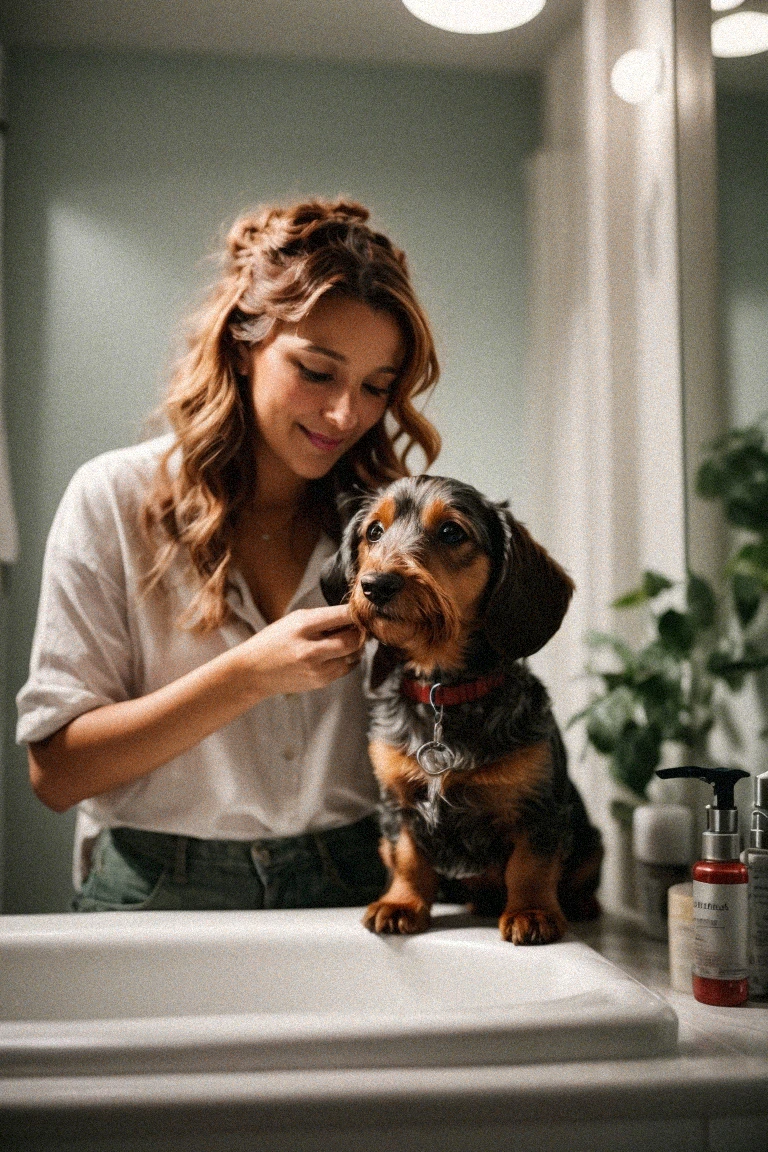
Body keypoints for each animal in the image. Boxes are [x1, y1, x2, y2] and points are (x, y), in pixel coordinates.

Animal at [322, 476, 603, 944]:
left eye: (452, 532)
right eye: (373, 532)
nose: (376, 585)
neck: (443, 692)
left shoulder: (539, 809)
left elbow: (530, 867)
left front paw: (531, 913)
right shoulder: (397, 803)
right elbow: (407, 858)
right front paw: (400, 904)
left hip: (591, 841)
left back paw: (579, 904)